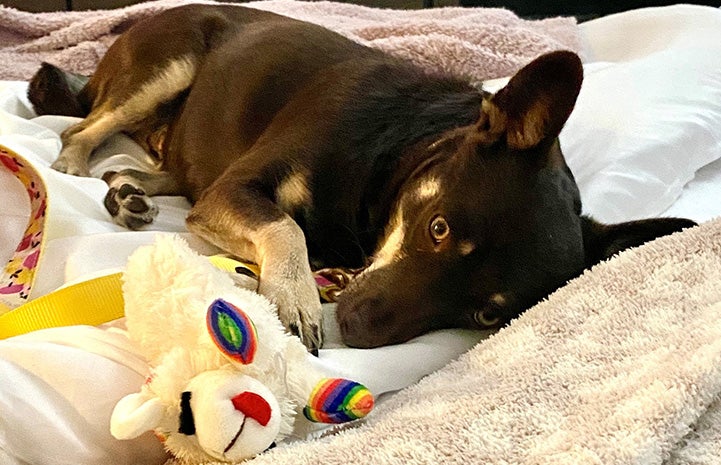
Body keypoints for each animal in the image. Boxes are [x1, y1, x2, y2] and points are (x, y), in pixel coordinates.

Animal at [29, 5, 692, 350]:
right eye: (439, 228)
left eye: (486, 316)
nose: (351, 326)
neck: (392, 153)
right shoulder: (237, 189)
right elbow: (286, 227)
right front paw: (296, 294)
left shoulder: (225, 194)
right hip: (169, 65)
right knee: (80, 129)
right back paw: (71, 167)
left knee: (158, 171)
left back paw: (129, 193)